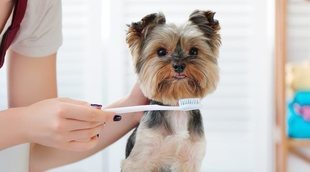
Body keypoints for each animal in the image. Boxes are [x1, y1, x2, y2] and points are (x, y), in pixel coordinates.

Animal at [121, 9, 220, 172]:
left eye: (194, 51)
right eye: (161, 51)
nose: (179, 65)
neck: (176, 108)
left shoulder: (190, 158)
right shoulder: (140, 158)